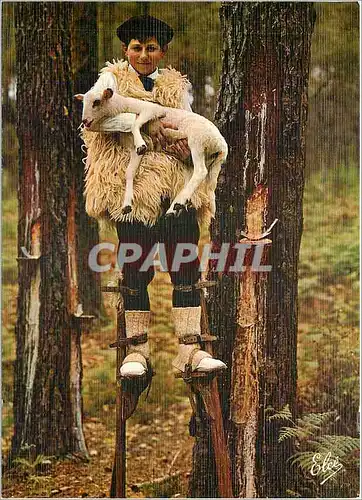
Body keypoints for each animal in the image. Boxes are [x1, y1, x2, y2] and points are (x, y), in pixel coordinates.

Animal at [76, 87, 228, 215]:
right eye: (83, 103)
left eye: (96, 102)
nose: (85, 121)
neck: (122, 106)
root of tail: (222, 146)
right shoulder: (133, 150)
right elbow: (129, 172)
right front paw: (127, 205)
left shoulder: (152, 110)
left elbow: (136, 123)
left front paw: (141, 143)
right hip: (206, 159)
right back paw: (176, 206)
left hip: (197, 142)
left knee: (200, 171)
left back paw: (178, 203)